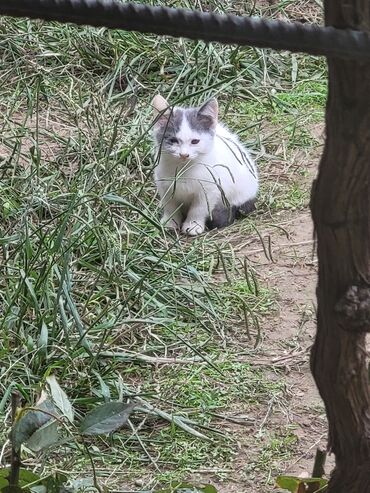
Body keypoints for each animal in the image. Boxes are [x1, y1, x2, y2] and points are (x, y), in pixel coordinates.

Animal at [152, 95, 258, 236]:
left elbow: (199, 208)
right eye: (173, 140)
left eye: (195, 141)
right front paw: (170, 222)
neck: (183, 169)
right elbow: (170, 206)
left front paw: (193, 225)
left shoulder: (210, 188)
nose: (184, 154)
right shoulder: (164, 185)